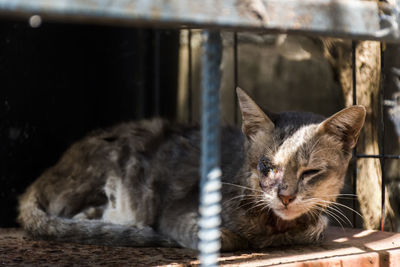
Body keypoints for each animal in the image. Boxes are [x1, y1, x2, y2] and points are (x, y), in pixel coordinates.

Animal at [17, 88, 364, 251]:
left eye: (310, 173)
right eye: (266, 166)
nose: (286, 197)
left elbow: (317, 226)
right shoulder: (178, 213)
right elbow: (222, 237)